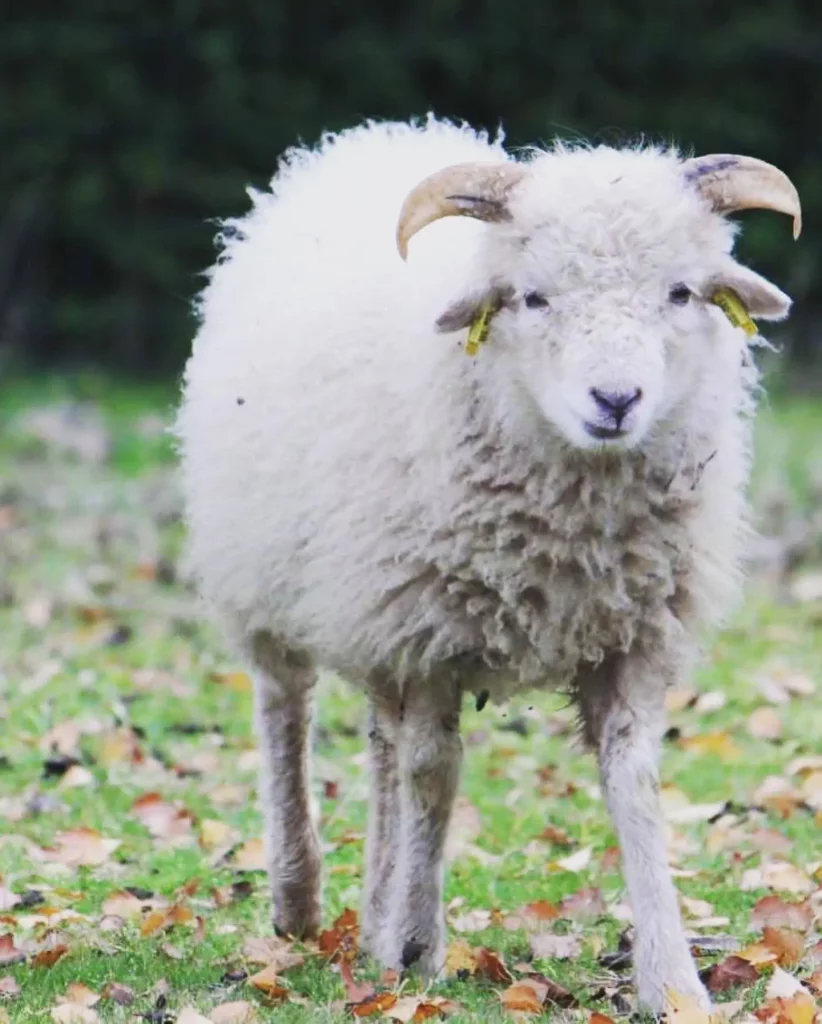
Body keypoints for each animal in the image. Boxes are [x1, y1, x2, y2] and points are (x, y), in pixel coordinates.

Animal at [174, 115, 801, 1013]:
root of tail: (374, 136)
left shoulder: (631, 635)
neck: (570, 538)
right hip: (270, 585)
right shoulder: (430, 629)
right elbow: (436, 773)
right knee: (285, 712)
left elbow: (634, 782)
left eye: (680, 293)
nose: (616, 401)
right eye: (534, 297)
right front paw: (414, 947)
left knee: (381, 745)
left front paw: (673, 981)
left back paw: (371, 904)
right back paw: (301, 901)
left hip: (371, 615)